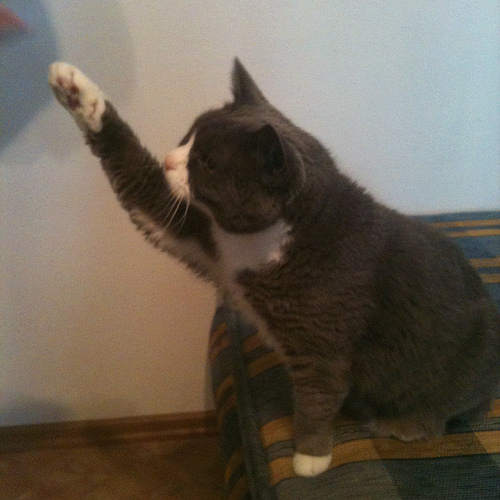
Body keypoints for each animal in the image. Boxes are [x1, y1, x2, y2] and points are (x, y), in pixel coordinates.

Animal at [48, 59, 500, 477]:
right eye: (187, 136)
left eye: (207, 161)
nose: (168, 160)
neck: (264, 241)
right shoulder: (202, 237)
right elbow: (139, 183)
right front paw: (74, 89)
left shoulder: (323, 345)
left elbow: (317, 397)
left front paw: (311, 458)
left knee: (442, 411)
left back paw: (405, 424)